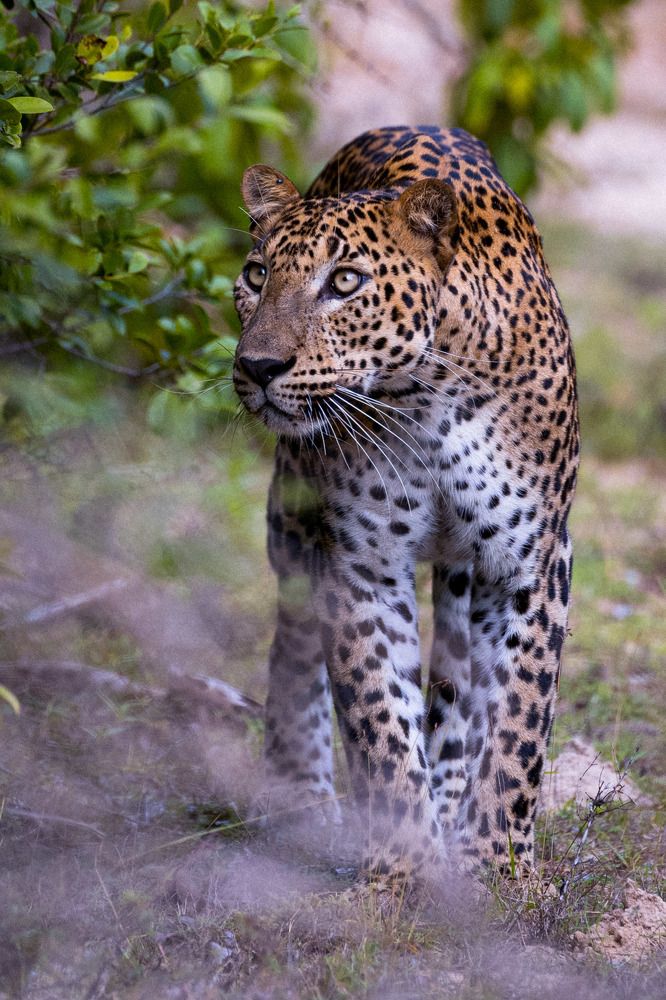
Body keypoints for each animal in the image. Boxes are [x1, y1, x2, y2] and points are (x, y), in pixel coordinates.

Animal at [232, 125, 579, 876]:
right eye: (256, 275)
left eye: (345, 282)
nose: (257, 367)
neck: (426, 398)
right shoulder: (360, 561)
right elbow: (379, 720)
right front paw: (403, 868)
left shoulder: (530, 563)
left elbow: (515, 722)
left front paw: (497, 867)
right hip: (292, 520)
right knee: (295, 643)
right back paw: (300, 795)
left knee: (456, 687)